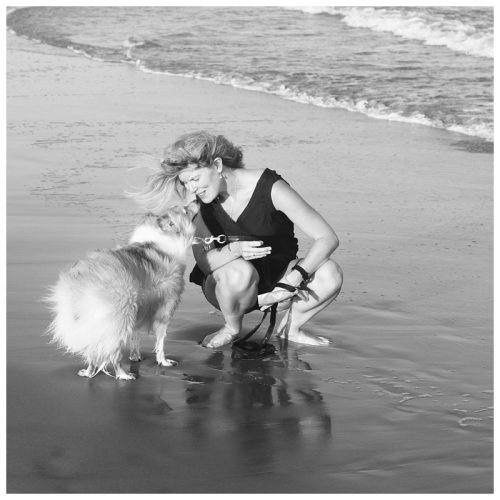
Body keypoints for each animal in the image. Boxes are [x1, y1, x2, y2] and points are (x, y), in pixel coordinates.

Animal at [45, 202, 198, 380]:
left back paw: (89, 372)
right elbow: (161, 341)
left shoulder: (138, 311)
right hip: (119, 317)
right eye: (185, 210)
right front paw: (163, 361)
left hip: (96, 321)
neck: (165, 235)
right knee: (113, 353)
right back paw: (124, 375)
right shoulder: (165, 309)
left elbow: (135, 336)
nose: (197, 200)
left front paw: (135, 356)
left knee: (93, 349)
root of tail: (82, 280)